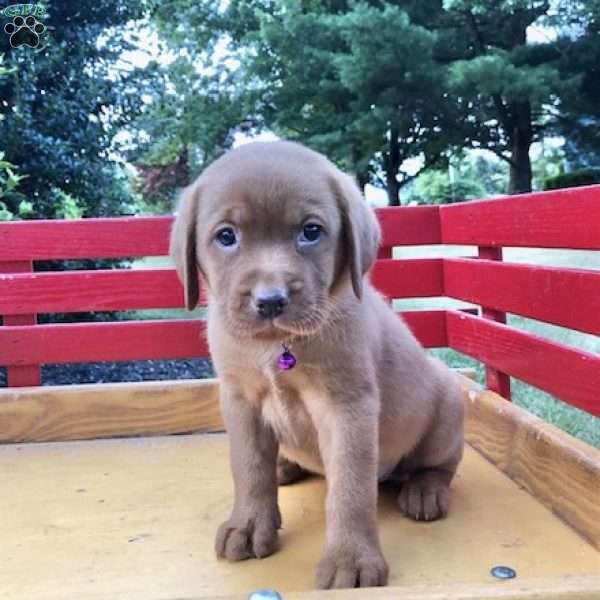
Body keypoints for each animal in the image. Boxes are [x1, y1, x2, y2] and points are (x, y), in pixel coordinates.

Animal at [169, 142, 464, 592]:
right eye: (226, 236)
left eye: (310, 232)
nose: (270, 301)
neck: (277, 348)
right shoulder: (239, 400)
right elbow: (248, 468)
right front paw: (249, 525)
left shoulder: (347, 407)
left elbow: (350, 490)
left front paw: (351, 560)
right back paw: (284, 465)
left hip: (448, 405)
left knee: (440, 464)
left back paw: (424, 490)